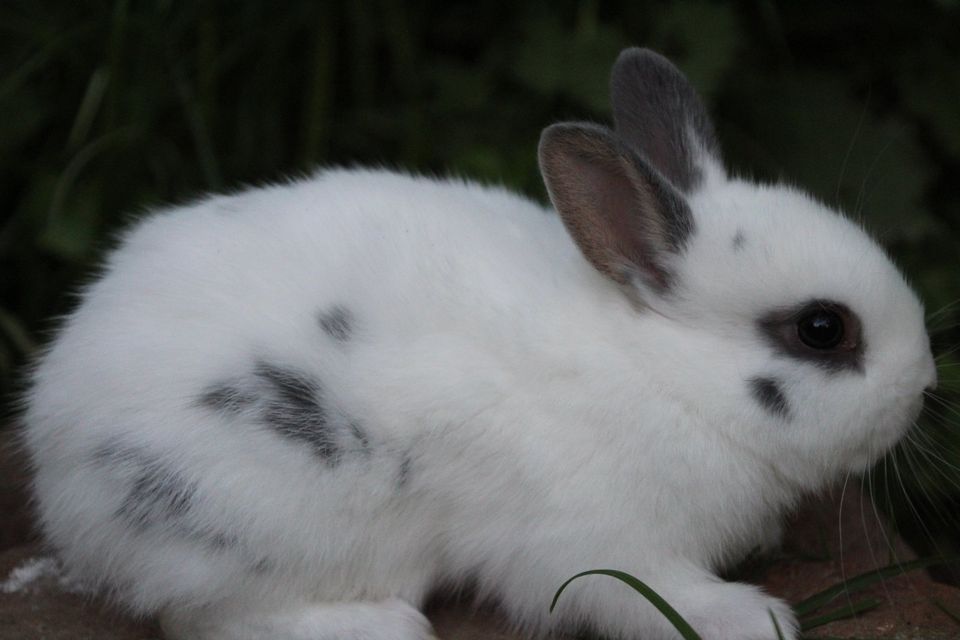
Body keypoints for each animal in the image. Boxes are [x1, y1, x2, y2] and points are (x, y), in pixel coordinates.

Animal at [24, 47, 936, 636]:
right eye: (822, 329)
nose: (925, 383)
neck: (666, 375)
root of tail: (51, 432)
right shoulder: (597, 544)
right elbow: (653, 594)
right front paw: (752, 615)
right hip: (263, 523)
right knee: (214, 617)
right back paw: (378, 626)